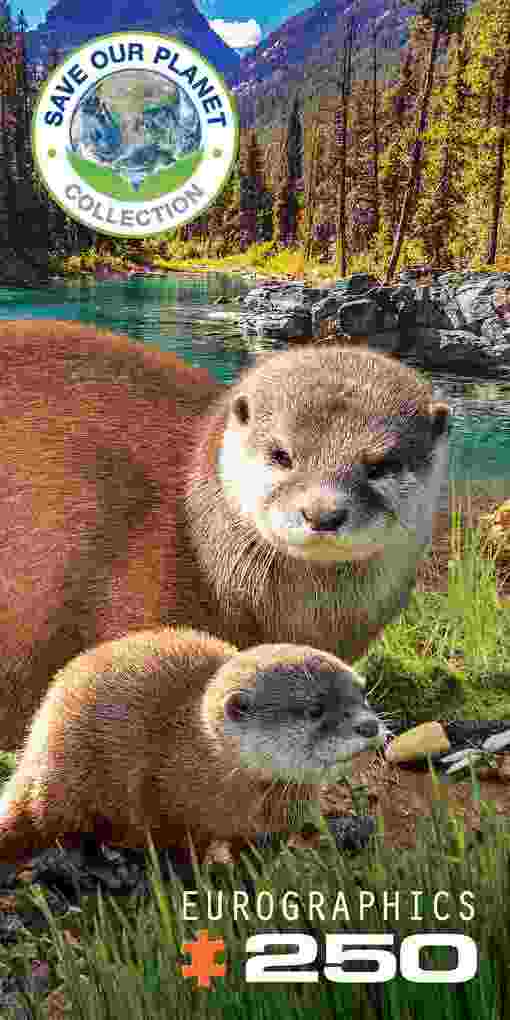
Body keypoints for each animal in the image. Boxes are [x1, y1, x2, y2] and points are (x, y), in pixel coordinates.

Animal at [0, 627, 385, 865]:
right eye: (314, 709)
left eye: (362, 692)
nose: (368, 726)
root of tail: (35, 741)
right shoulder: (162, 800)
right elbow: (174, 846)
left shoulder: (277, 822)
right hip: (69, 774)